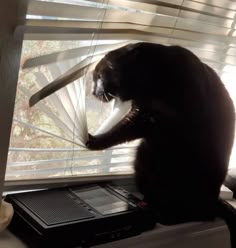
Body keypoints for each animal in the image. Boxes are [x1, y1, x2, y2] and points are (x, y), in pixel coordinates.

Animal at [86, 42, 236, 246]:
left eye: (99, 77)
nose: (93, 92)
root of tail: (214, 201)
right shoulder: (141, 115)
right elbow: (121, 131)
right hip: (144, 157)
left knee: (199, 214)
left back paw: (165, 215)